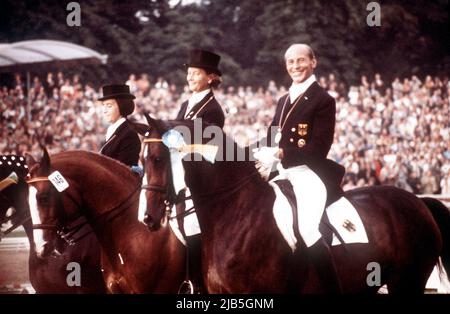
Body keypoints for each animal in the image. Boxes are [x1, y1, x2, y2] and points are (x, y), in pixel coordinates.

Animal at [141, 118, 450, 294]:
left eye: (158, 158)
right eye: (142, 159)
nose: (148, 218)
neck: (235, 213)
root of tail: (418, 201)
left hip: (408, 281)